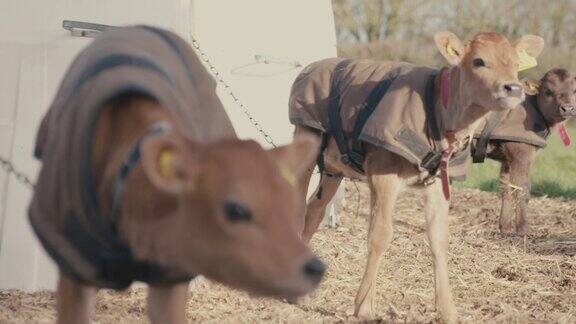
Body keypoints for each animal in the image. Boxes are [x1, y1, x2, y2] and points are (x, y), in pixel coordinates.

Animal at [290, 31, 544, 322]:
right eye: (479, 61)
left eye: (516, 63)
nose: (514, 88)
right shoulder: (383, 174)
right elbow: (380, 234)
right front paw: (364, 307)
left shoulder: (438, 184)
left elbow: (438, 239)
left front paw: (448, 311)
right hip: (305, 142)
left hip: (333, 170)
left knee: (314, 210)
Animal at [476, 69, 576, 235]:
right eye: (548, 91)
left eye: (574, 91)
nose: (567, 108)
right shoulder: (521, 153)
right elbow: (522, 188)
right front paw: (522, 229)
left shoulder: (507, 158)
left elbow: (506, 188)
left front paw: (505, 228)